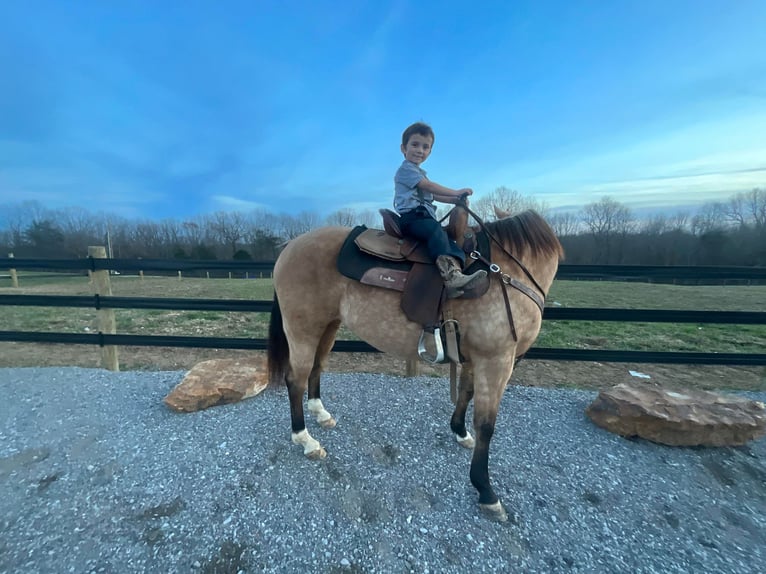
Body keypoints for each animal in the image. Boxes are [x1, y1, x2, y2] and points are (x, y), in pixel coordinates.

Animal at [268, 208, 564, 520]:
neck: (506, 273)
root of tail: (289, 248)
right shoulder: (496, 360)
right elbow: (486, 424)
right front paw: (485, 490)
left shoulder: (477, 359)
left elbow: (465, 394)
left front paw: (460, 432)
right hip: (302, 330)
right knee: (295, 380)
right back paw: (305, 440)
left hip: (328, 326)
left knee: (316, 368)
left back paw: (321, 414)